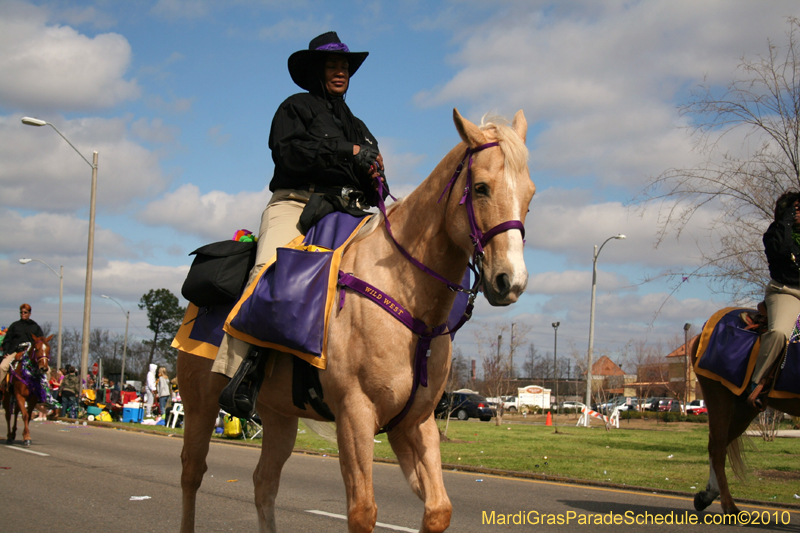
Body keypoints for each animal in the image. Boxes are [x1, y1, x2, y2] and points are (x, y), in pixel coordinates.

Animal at [178, 109, 536, 532]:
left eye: (530, 196)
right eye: (481, 188)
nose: (511, 281)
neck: (409, 301)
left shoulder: (414, 424)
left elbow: (438, 510)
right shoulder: (355, 415)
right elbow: (363, 512)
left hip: (279, 416)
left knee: (264, 483)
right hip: (199, 405)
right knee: (192, 473)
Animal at [692, 334, 800, 512]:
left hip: (745, 409)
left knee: (719, 445)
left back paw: (707, 494)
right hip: (719, 395)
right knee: (717, 448)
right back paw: (729, 507)